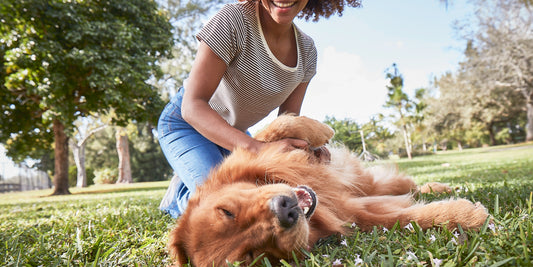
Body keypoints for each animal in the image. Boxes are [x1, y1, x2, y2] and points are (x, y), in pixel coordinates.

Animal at [168, 116, 488, 266]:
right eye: (253, 256)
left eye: (226, 211)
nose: (285, 210)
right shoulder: (357, 214)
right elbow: (406, 218)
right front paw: (467, 216)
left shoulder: (252, 156)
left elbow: (273, 129)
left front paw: (319, 129)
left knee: (403, 183)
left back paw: (444, 184)